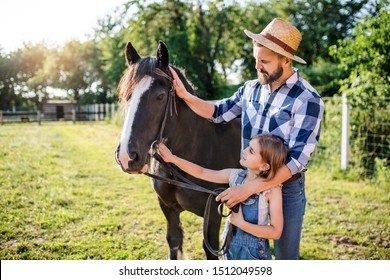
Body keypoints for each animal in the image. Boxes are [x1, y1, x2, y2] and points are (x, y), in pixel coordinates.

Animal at [114, 40, 241, 260]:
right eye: (126, 96)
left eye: (160, 96)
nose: (126, 157)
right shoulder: (167, 207)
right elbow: (173, 241)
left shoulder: (212, 214)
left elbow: (210, 249)